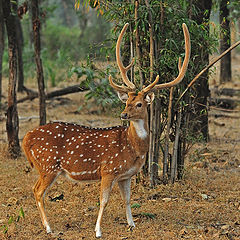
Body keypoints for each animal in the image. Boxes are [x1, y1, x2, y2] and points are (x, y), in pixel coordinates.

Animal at [23, 23, 191, 238]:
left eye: (139, 104)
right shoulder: (108, 170)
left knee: (36, 190)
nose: (123, 114)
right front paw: (98, 230)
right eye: (127, 102)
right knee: (37, 190)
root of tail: (26, 138)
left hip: (47, 167)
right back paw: (49, 228)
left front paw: (132, 224)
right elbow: (103, 201)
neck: (134, 148)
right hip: (48, 165)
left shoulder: (126, 175)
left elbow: (127, 199)